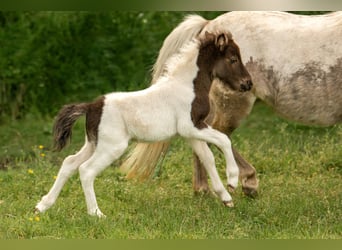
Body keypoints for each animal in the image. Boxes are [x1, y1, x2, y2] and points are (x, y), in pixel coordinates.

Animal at [35, 32, 254, 217]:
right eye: (233, 59)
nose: (248, 83)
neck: (187, 85)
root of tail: (91, 107)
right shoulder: (190, 126)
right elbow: (224, 140)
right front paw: (232, 181)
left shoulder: (191, 133)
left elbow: (207, 157)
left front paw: (226, 198)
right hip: (112, 146)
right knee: (86, 170)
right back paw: (96, 214)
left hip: (93, 143)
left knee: (69, 163)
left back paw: (43, 205)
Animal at [121, 11, 342, 195]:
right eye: (234, 58)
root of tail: (208, 24)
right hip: (233, 105)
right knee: (218, 135)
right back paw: (243, 184)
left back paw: (204, 190)